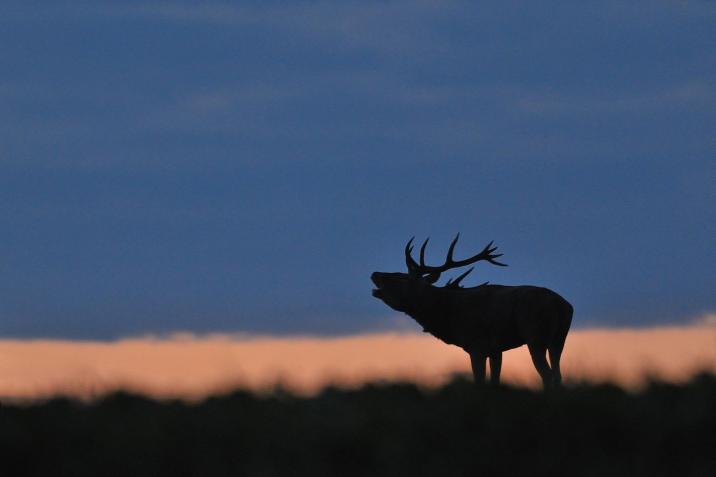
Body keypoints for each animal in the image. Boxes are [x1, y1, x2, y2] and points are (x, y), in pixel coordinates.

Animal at [372, 234, 572, 386]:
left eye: (401, 277)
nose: (375, 274)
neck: (448, 316)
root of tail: (563, 306)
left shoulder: (477, 346)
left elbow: (479, 382)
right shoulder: (496, 350)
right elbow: (495, 382)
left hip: (535, 336)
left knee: (548, 375)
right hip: (559, 339)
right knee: (558, 374)